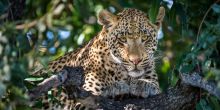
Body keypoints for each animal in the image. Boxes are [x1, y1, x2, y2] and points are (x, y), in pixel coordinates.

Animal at [32, 6, 165, 109]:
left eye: (145, 38)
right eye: (122, 39)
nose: (135, 60)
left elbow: (153, 86)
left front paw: (143, 85)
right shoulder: (82, 98)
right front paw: (118, 88)